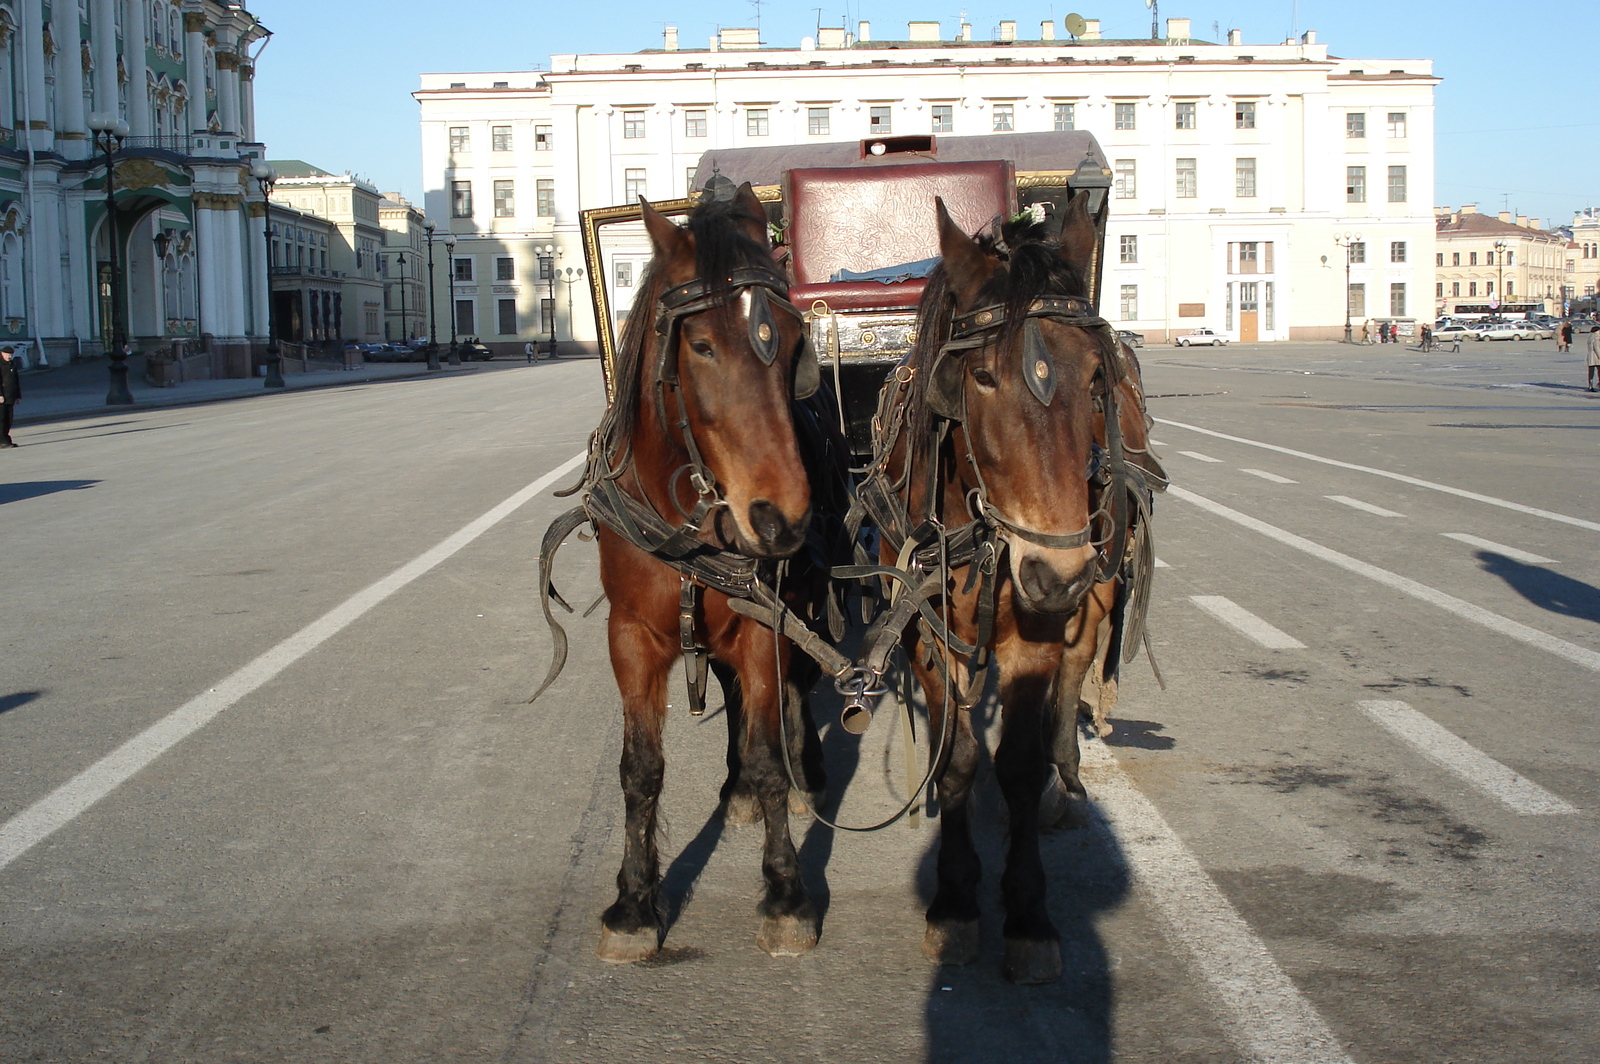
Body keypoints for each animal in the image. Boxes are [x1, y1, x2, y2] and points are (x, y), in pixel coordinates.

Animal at [585, 182, 838, 960]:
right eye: (700, 345)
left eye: (792, 337)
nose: (783, 517)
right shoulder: (631, 637)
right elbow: (640, 769)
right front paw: (634, 901)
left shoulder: (764, 623)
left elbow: (767, 747)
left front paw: (786, 892)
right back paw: (736, 793)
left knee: (794, 690)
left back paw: (804, 776)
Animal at [857, 188, 1158, 979]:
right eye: (982, 376)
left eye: (1094, 376)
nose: (1053, 572)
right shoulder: (927, 629)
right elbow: (958, 756)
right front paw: (955, 899)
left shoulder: (1041, 630)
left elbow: (1019, 764)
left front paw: (1026, 912)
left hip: (1099, 588)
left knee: (1076, 681)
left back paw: (1068, 784)